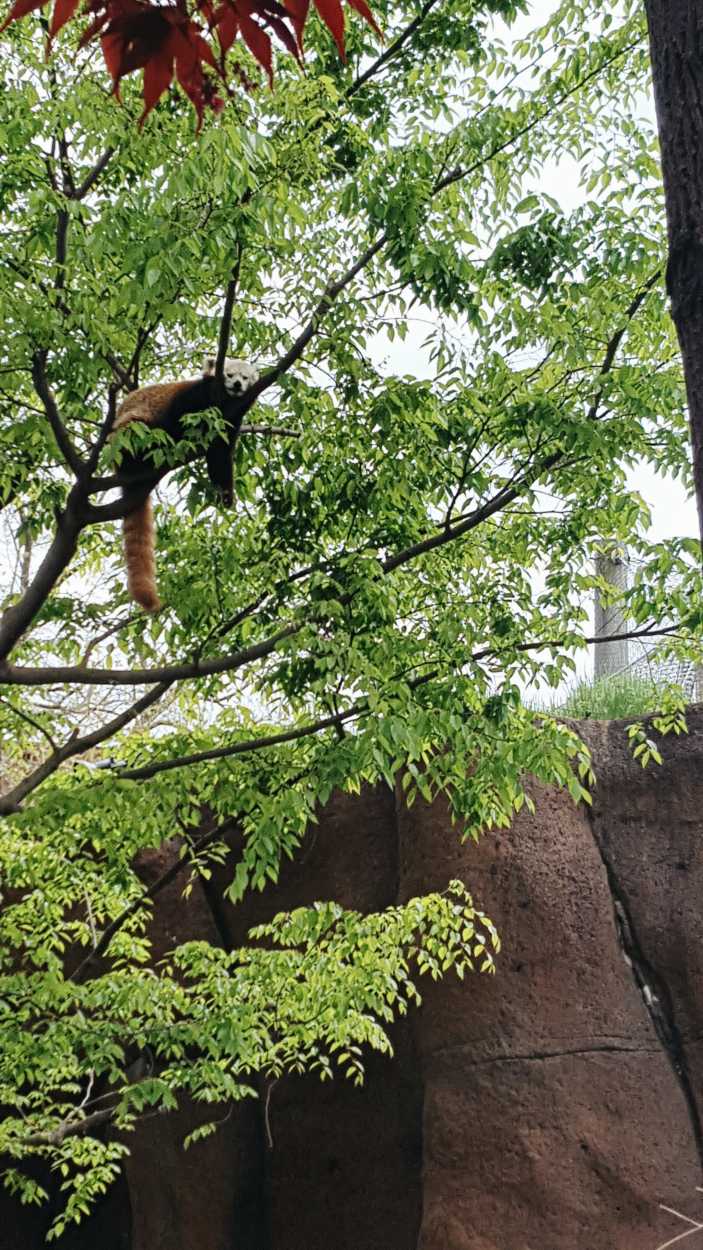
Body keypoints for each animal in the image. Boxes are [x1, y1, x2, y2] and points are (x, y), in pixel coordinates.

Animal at [110, 355, 258, 612]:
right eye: (229, 375)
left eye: (245, 377)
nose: (238, 385)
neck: (224, 403)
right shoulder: (192, 398)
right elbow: (178, 418)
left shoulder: (229, 422)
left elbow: (220, 457)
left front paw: (225, 495)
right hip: (128, 432)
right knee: (141, 433)